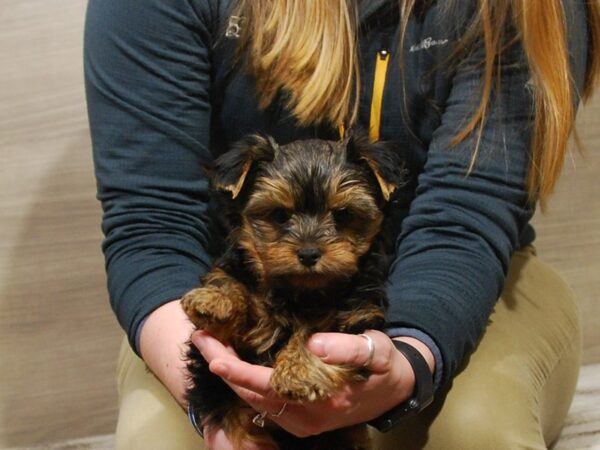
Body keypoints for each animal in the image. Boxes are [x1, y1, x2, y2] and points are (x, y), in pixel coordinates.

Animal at [183, 134, 406, 450]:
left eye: (343, 215)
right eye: (279, 215)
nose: (309, 253)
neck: (300, 290)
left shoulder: (356, 318)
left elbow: (314, 331)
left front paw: (297, 372)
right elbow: (231, 291)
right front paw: (215, 300)